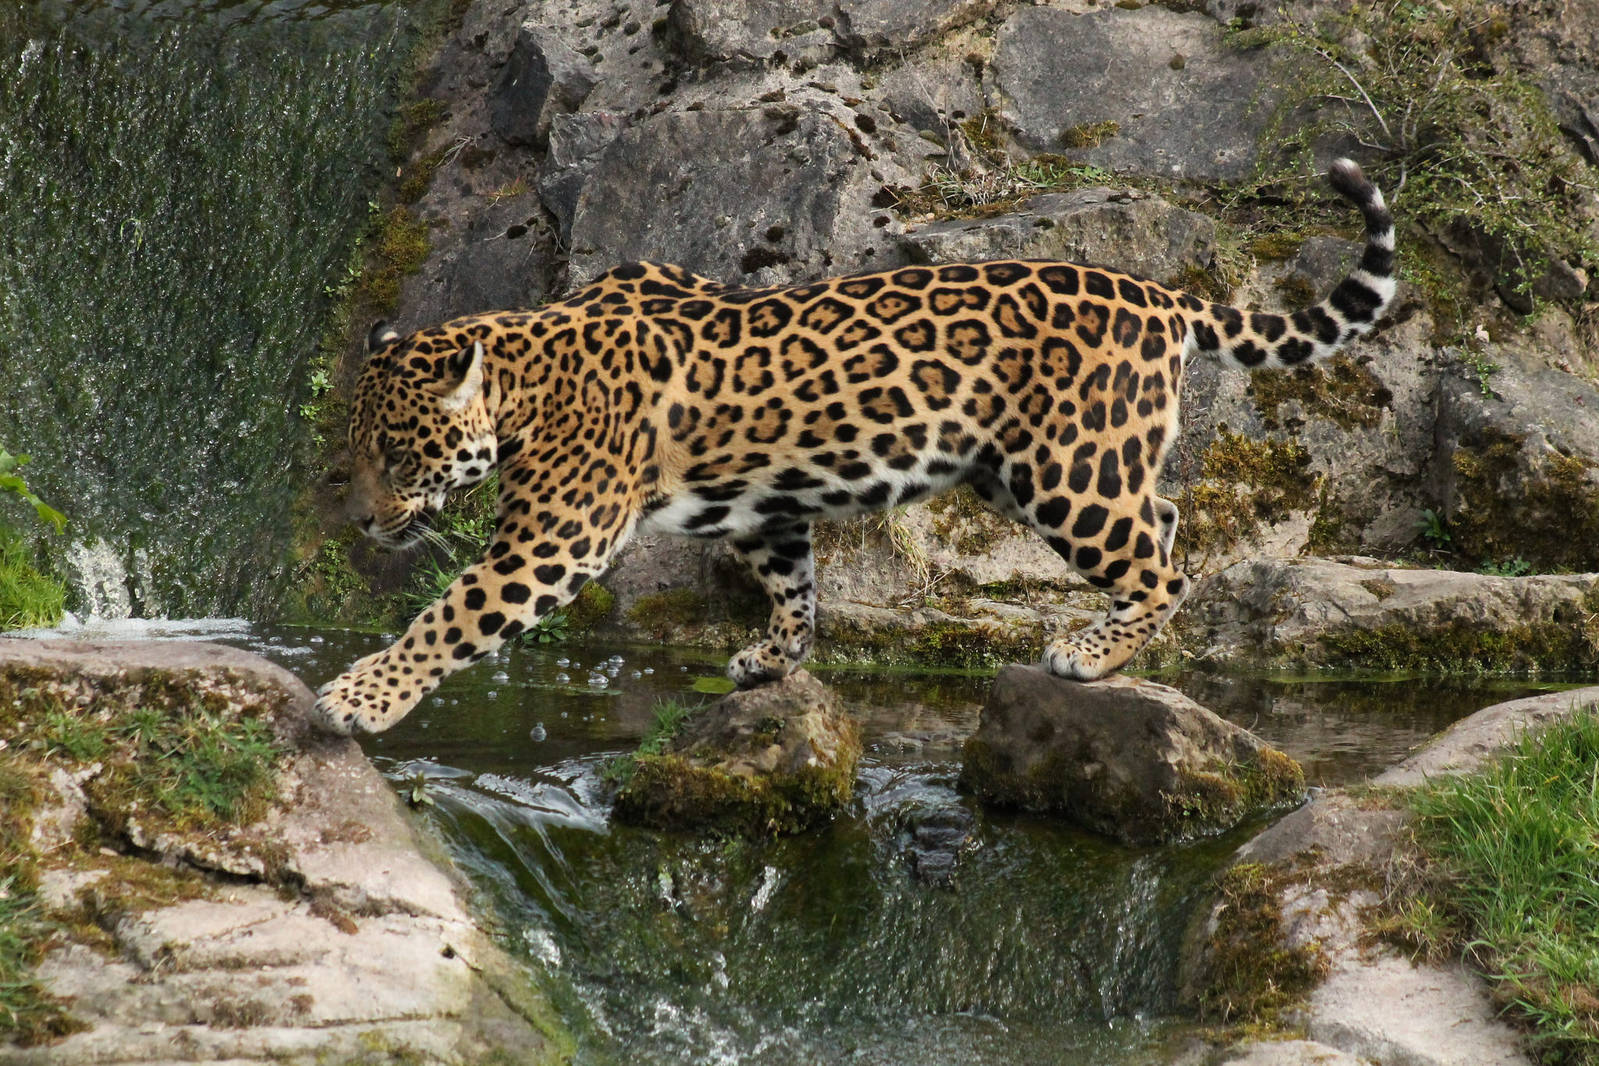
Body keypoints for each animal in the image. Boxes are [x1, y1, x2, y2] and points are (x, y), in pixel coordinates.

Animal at [314, 158, 1394, 735]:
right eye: (360, 453)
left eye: (399, 456)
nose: (360, 520)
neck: (527, 372)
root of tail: (1160, 293)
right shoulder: (765, 504)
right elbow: (792, 582)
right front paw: (774, 658)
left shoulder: (554, 539)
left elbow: (450, 617)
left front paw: (361, 697)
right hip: (1023, 467)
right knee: (1164, 513)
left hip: (1066, 472)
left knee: (1166, 566)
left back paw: (1089, 652)